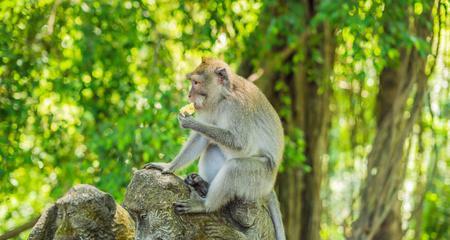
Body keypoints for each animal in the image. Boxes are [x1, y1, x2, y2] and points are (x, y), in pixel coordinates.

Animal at [144, 56, 284, 240]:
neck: (223, 98)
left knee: (235, 167)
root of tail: (271, 185)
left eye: (196, 82)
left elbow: (240, 142)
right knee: (212, 148)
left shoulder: (237, 107)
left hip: (260, 178)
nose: (189, 95)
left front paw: (191, 122)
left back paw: (205, 205)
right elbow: (202, 138)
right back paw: (203, 185)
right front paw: (168, 166)